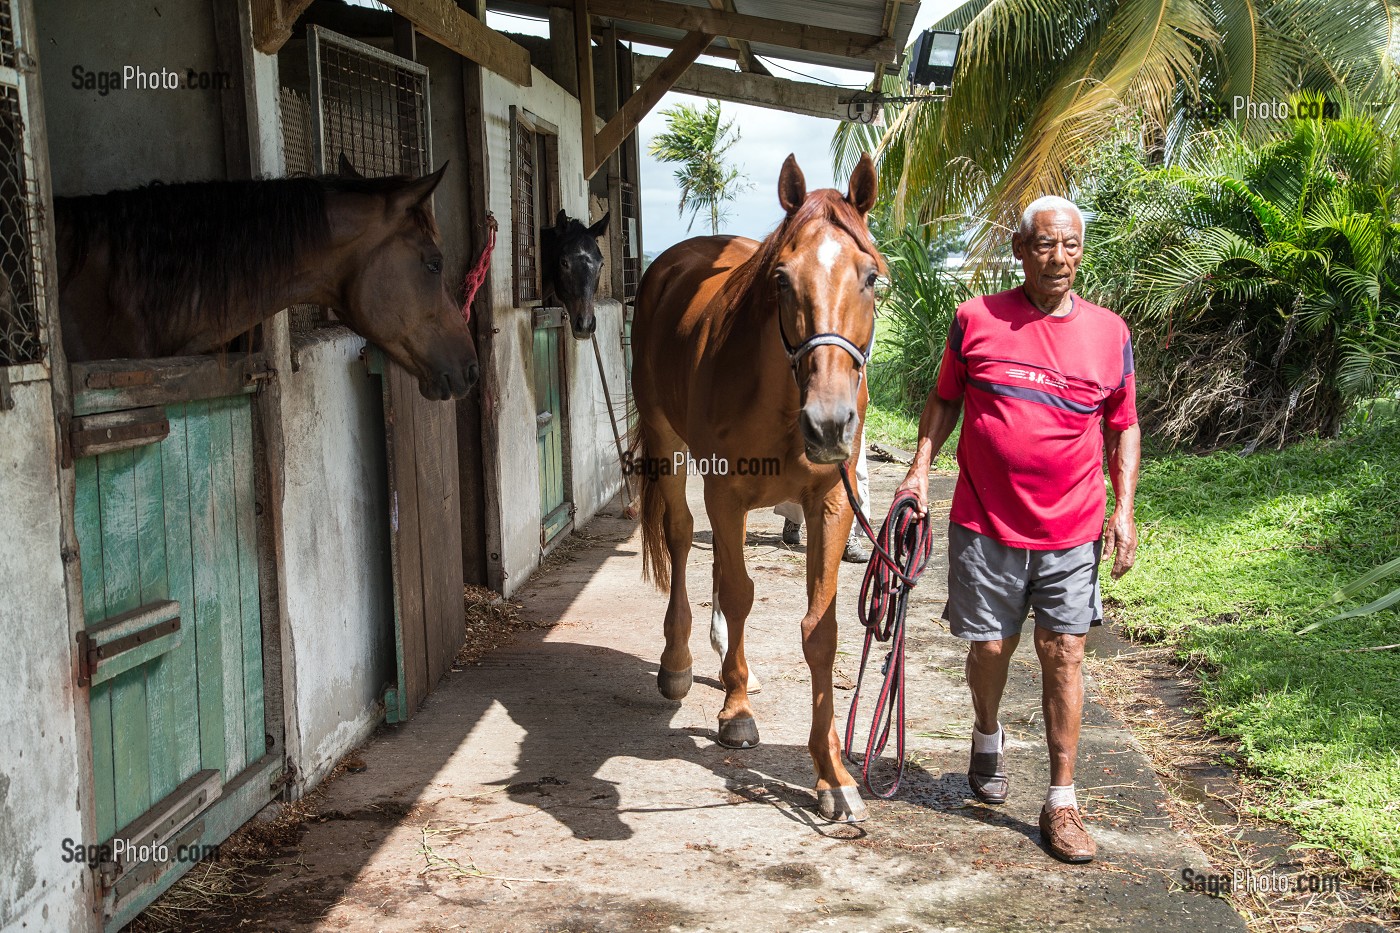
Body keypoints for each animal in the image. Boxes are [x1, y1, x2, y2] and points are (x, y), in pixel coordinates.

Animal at [635, 154, 884, 823]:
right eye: (781, 279)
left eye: (871, 277)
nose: (830, 423)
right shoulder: (722, 491)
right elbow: (741, 593)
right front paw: (738, 713)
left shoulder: (831, 504)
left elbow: (820, 630)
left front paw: (833, 775)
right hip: (667, 444)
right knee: (683, 539)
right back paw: (681, 663)